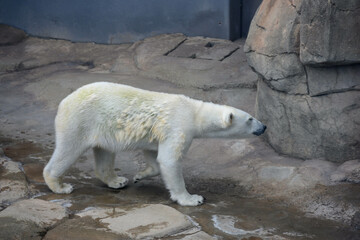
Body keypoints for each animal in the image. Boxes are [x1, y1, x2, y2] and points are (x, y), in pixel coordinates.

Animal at [43, 82, 266, 206]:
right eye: (250, 118)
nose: (263, 127)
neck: (194, 112)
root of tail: (64, 102)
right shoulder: (179, 126)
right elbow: (169, 160)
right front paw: (192, 199)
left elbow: (154, 154)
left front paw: (140, 175)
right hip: (80, 121)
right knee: (68, 150)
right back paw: (60, 186)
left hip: (102, 127)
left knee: (105, 152)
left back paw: (117, 181)